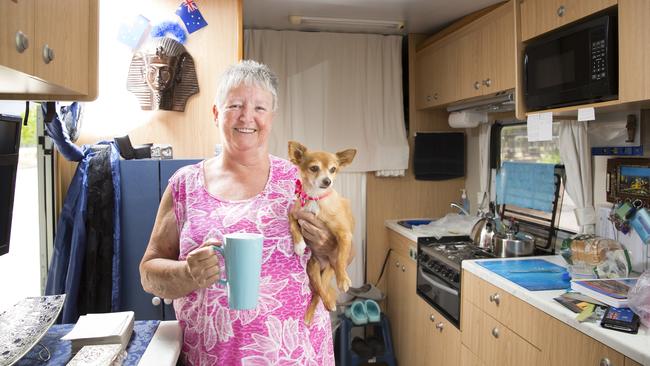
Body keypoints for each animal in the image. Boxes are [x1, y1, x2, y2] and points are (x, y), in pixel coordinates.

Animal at [288, 142, 356, 324]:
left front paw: (343, 279)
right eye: (314, 168)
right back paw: (314, 312)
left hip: (328, 271)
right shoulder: (294, 214)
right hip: (312, 269)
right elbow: (293, 226)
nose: (327, 181)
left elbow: (341, 258)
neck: (315, 198)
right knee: (318, 292)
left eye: (333, 169)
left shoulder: (344, 234)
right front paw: (299, 245)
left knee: (321, 291)